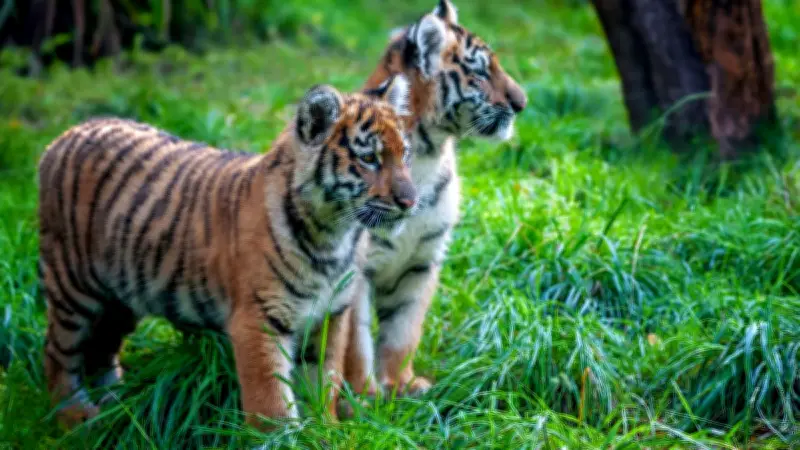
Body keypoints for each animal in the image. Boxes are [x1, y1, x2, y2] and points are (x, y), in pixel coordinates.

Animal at [37, 74, 416, 428]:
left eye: (405, 154)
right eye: (369, 159)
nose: (411, 201)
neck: (335, 234)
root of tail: (65, 135)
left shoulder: (331, 315)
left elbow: (324, 381)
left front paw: (325, 429)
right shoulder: (259, 317)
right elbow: (272, 403)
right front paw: (285, 438)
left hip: (122, 294)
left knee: (102, 347)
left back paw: (115, 402)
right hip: (74, 286)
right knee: (58, 351)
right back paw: (74, 414)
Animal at [341, 0, 528, 399]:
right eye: (481, 71)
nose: (522, 103)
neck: (428, 153)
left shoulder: (422, 261)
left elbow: (403, 332)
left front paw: (403, 386)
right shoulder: (356, 269)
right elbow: (355, 343)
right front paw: (363, 398)